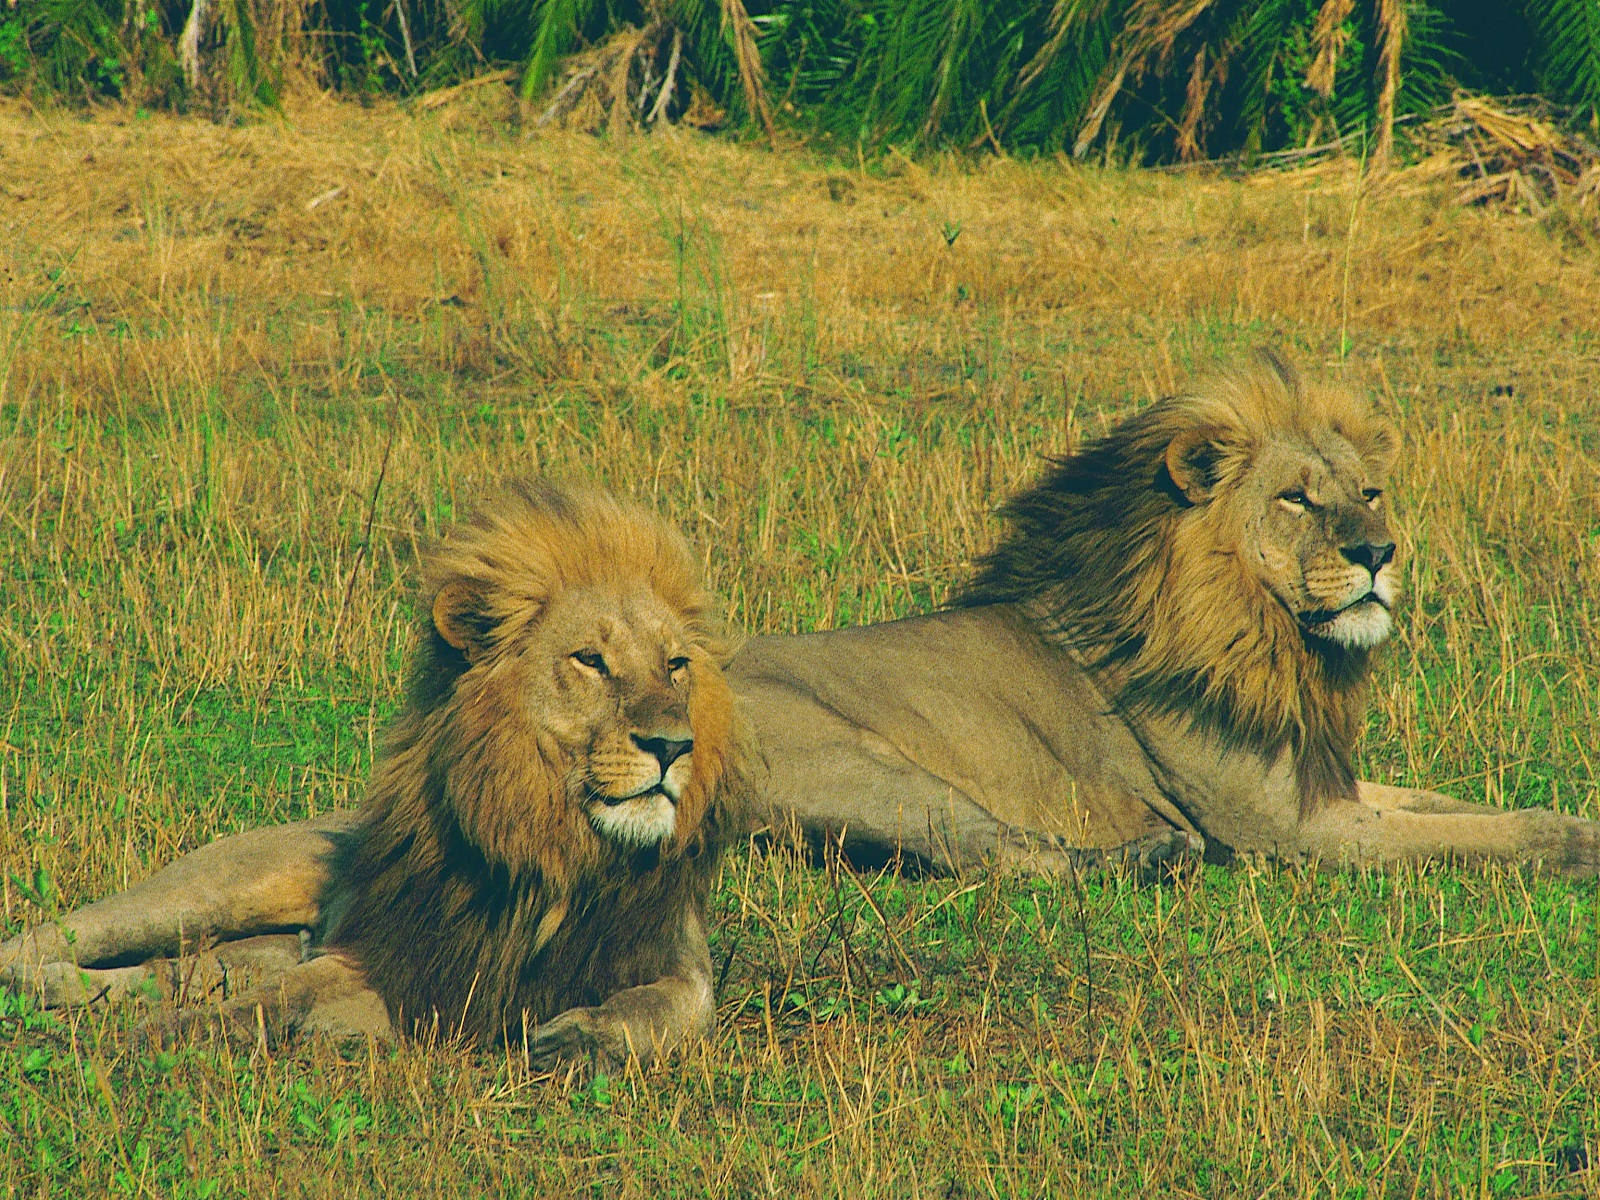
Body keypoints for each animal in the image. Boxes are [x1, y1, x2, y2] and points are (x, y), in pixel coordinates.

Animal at [1, 483, 748, 1068]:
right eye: (590, 660)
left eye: (675, 665)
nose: (672, 745)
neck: (561, 846)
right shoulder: (391, 953)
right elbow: (271, 998)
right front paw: (166, 1037)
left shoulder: (672, 956)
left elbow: (669, 1008)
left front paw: (584, 1040)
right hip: (212, 889)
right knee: (48, 942)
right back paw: (51, 987)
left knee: (175, 972)